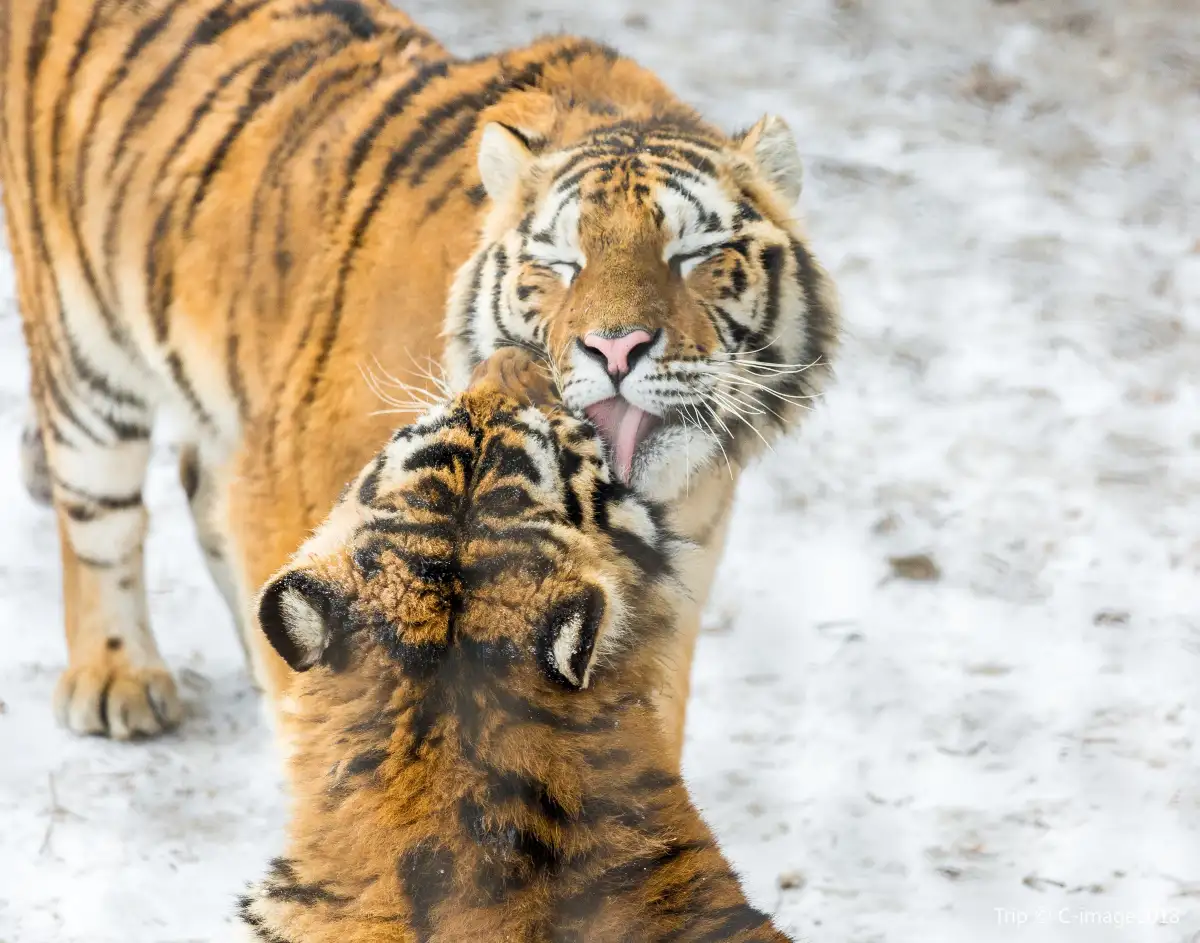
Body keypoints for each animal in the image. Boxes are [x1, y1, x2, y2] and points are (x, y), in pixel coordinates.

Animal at [0, 0, 839, 761]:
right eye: (561, 263)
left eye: (693, 255)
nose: (617, 346)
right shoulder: (292, 502)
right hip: (85, 357)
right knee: (100, 515)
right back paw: (117, 678)